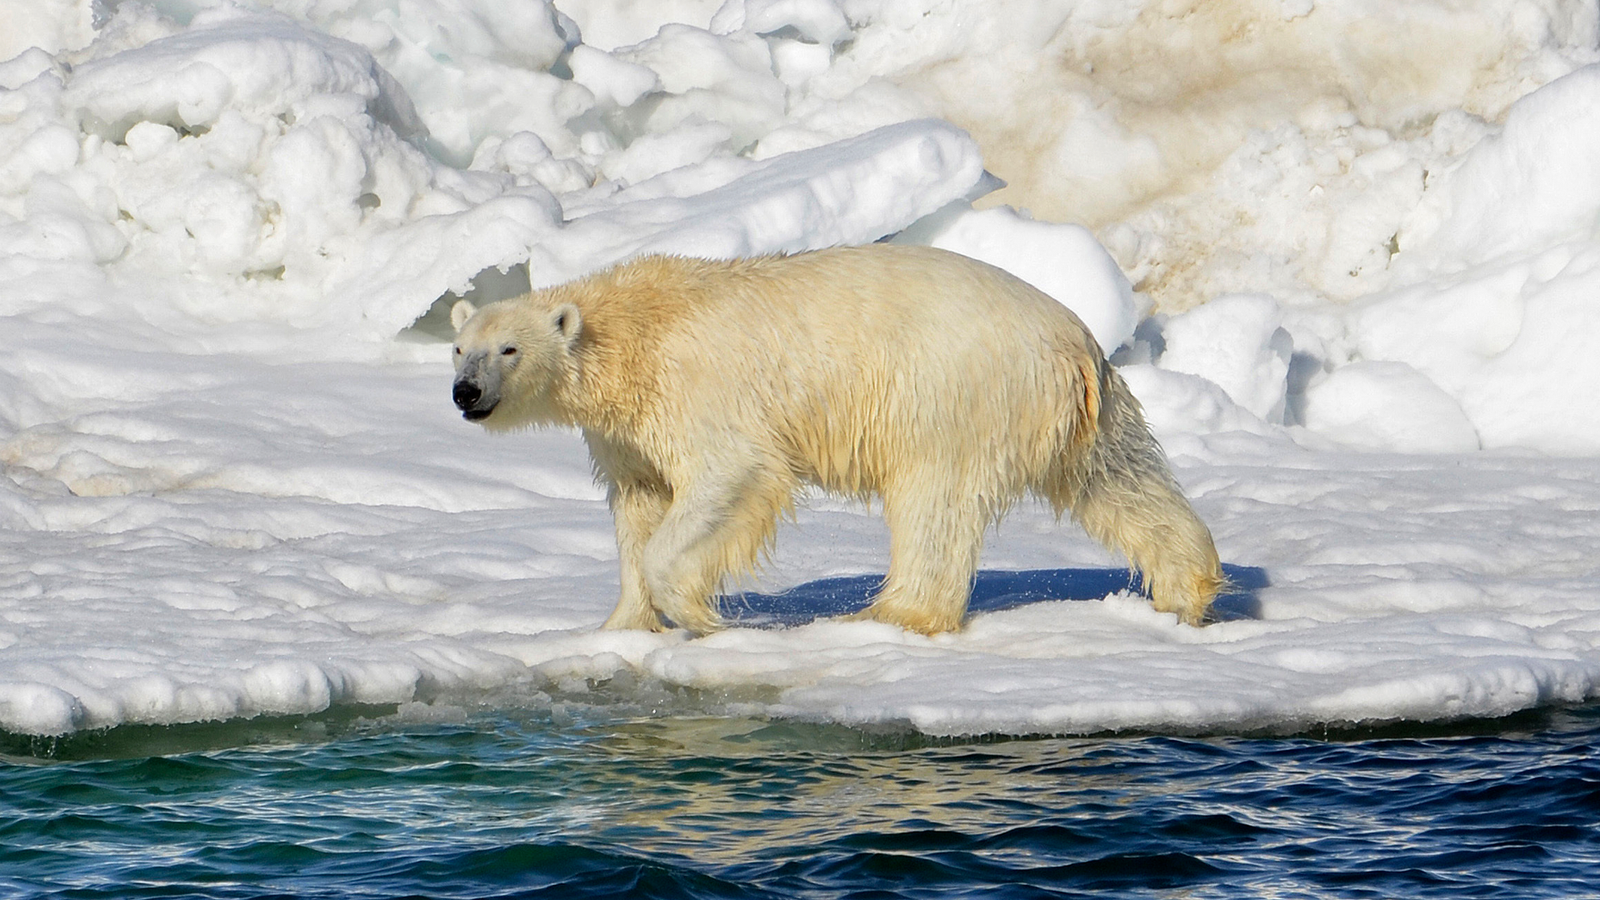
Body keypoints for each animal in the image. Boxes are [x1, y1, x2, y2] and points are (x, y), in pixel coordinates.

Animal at [450, 244, 1224, 635]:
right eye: (460, 349)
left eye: (509, 349)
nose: (466, 393)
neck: (636, 330)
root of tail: (1074, 343)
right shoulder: (628, 431)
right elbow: (639, 505)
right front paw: (621, 625)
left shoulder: (700, 390)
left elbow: (731, 476)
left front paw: (701, 615)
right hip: (1084, 412)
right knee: (1121, 481)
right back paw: (1185, 592)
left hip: (951, 394)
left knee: (933, 502)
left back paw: (890, 614)